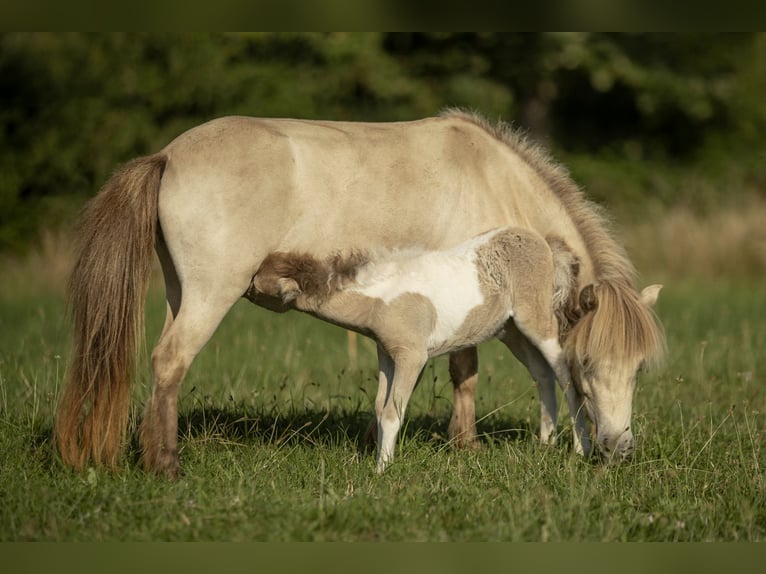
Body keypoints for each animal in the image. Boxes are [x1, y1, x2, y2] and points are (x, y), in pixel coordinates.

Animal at [249, 227, 592, 474]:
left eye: (261, 281)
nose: (246, 285)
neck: (382, 296)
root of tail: (543, 242)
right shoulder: (387, 355)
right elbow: (379, 406)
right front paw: (379, 457)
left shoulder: (412, 356)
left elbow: (392, 412)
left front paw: (382, 470)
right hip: (511, 331)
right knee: (542, 375)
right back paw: (545, 443)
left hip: (536, 321)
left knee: (564, 375)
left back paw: (579, 449)